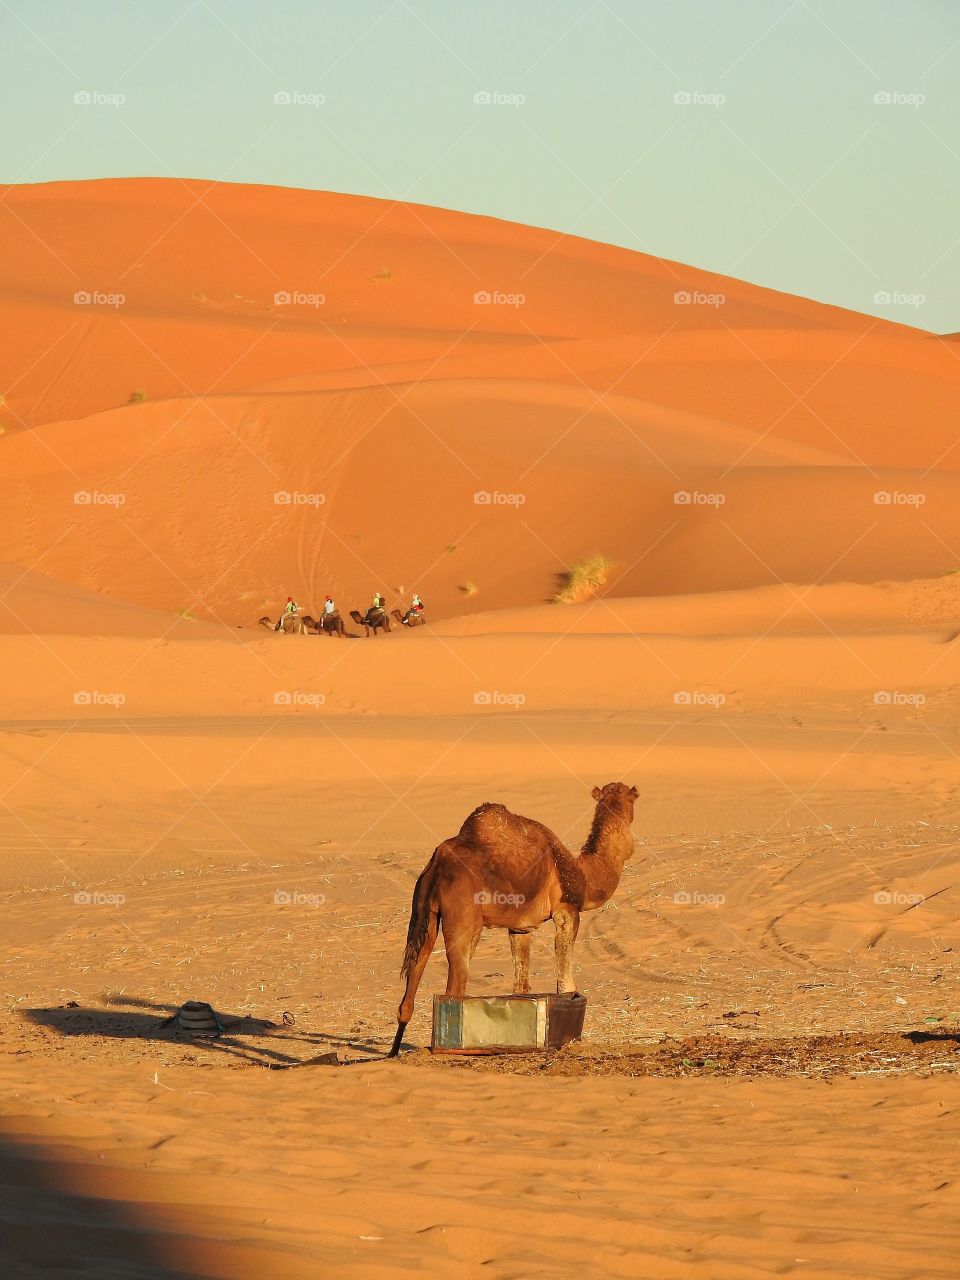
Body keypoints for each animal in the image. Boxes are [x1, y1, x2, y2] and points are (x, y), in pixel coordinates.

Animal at [386, 778, 642, 1059]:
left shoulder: (520, 928)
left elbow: (521, 986)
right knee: (455, 986)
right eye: (634, 799)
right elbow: (566, 983)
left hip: (424, 912)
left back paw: (393, 1052)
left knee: (413, 979)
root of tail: (437, 867)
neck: (584, 877)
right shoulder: (567, 911)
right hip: (463, 916)